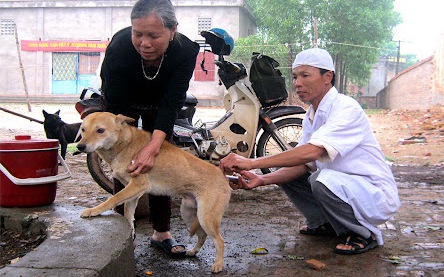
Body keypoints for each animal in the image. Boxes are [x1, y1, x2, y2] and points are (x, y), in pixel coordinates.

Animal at [76, 111, 231, 270]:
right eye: (83, 130)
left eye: (100, 130)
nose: (80, 146)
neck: (125, 144)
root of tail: (223, 177)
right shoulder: (133, 193)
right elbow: (128, 214)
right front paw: (130, 233)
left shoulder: (138, 185)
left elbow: (112, 199)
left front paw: (93, 211)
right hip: (189, 213)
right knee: (202, 235)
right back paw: (193, 251)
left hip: (206, 217)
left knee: (220, 241)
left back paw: (218, 264)